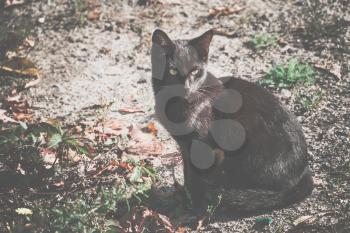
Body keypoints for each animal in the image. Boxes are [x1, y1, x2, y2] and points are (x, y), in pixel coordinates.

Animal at [150, 28, 312, 211]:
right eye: (172, 70)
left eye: (195, 71)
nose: (185, 88)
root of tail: (303, 172)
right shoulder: (184, 146)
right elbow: (187, 173)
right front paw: (185, 197)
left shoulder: (201, 145)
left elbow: (194, 178)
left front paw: (191, 205)